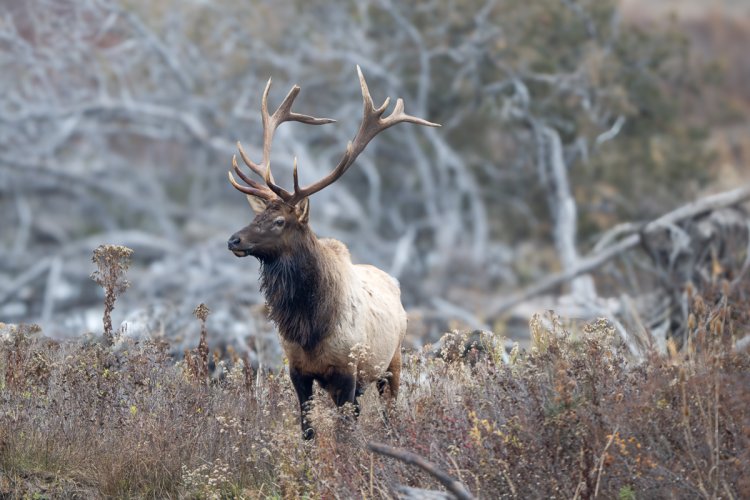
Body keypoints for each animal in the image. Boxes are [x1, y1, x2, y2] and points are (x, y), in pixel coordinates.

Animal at [228, 65, 440, 438]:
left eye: (280, 221)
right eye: (256, 216)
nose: (234, 240)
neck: (310, 328)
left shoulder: (347, 372)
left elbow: (344, 435)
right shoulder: (298, 372)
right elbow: (308, 432)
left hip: (392, 362)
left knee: (388, 412)